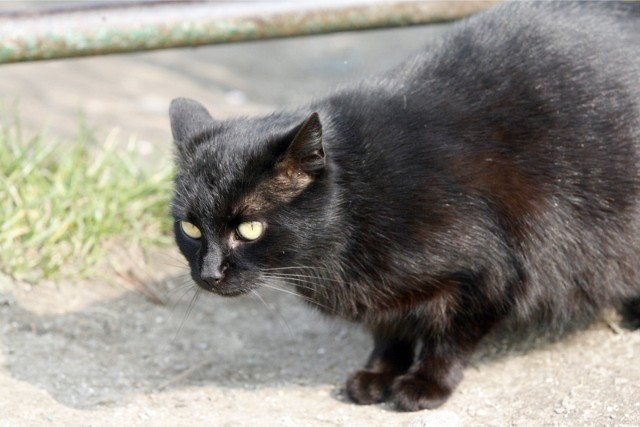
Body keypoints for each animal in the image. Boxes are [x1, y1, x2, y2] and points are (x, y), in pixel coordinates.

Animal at [169, 1, 640, 412]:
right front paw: (378, 374)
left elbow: (448, 339)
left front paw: (426, 383)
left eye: (249, 228)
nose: (208, 274)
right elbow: (388, 330)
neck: (359, 201)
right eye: (190, 229)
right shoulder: (385, 297)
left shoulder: (490, 272)